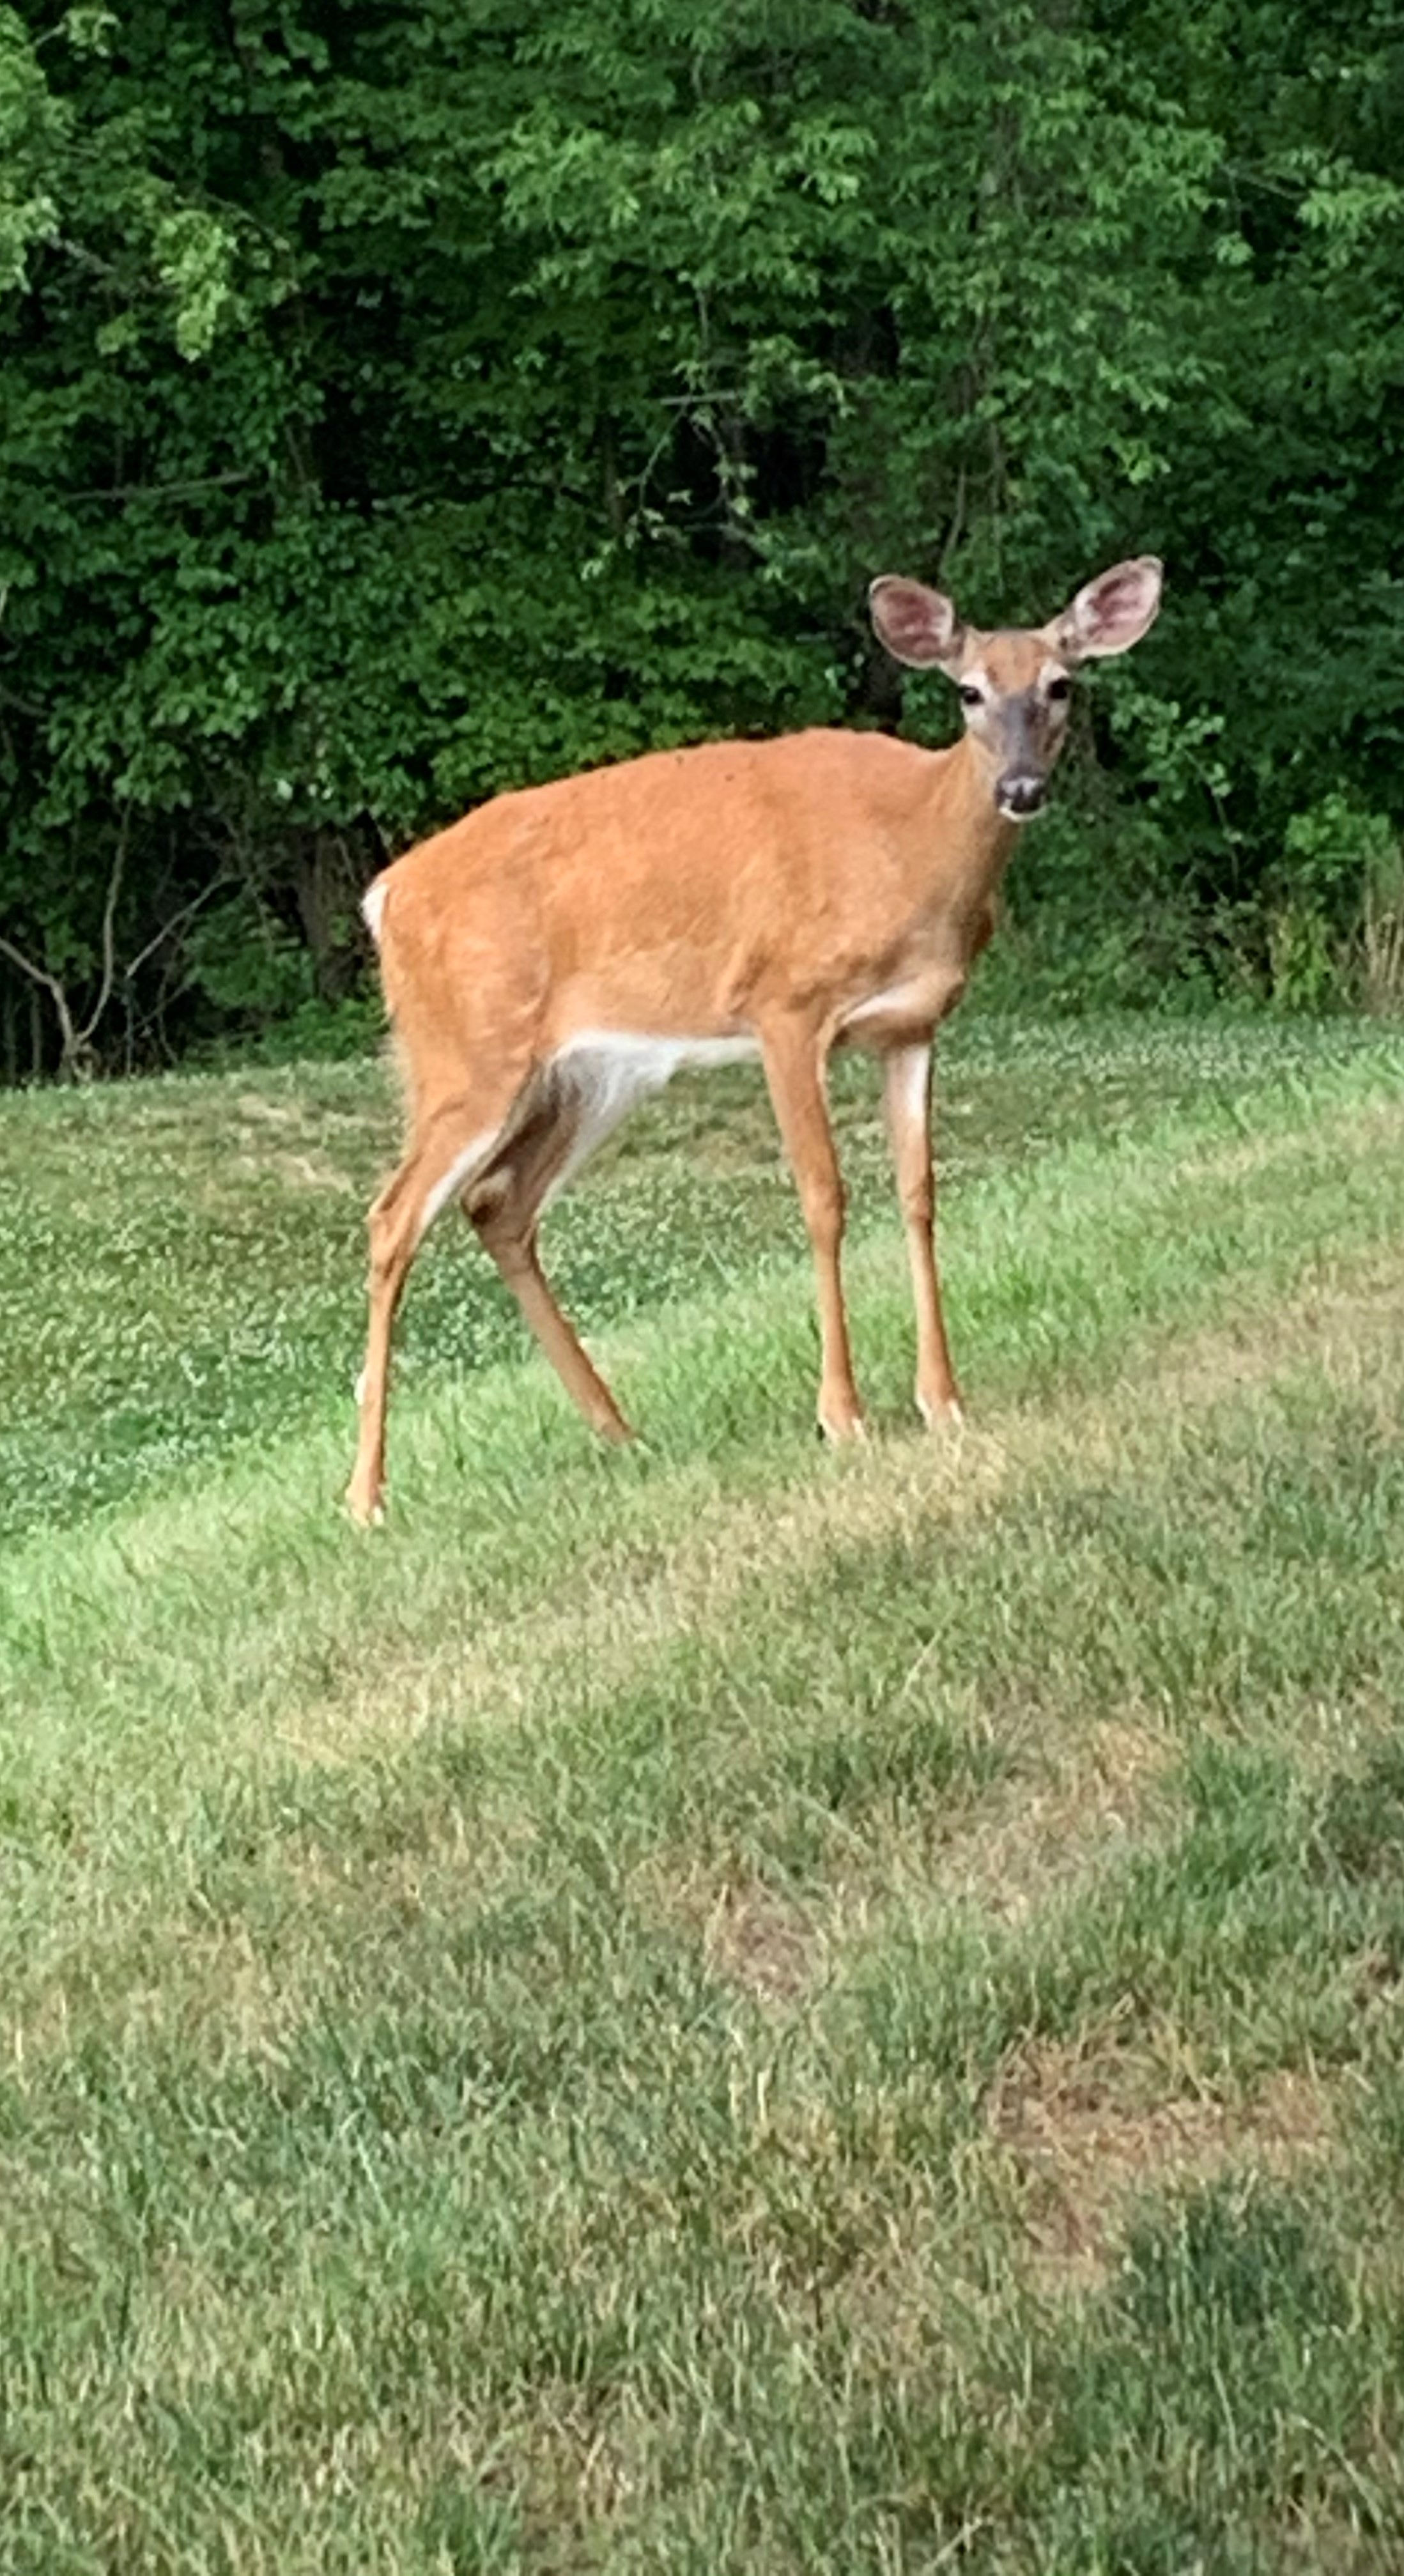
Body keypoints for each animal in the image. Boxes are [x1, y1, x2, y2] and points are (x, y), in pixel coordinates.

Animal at [348, 553, 1159, 1515]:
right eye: (967, 690)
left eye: (1060, 684)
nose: (1022, 788)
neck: (913, 848)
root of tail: (385, 896)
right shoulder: (784, 1006)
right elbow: (823, 1195)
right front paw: (842, 1414)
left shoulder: (912, 1026)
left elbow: (918, 1193)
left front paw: (942, 1399)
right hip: (465, 1052)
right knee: (392, 1218)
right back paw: (367, 1496)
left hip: (588, 1072)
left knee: (497, 1201)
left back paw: (620, 1432)